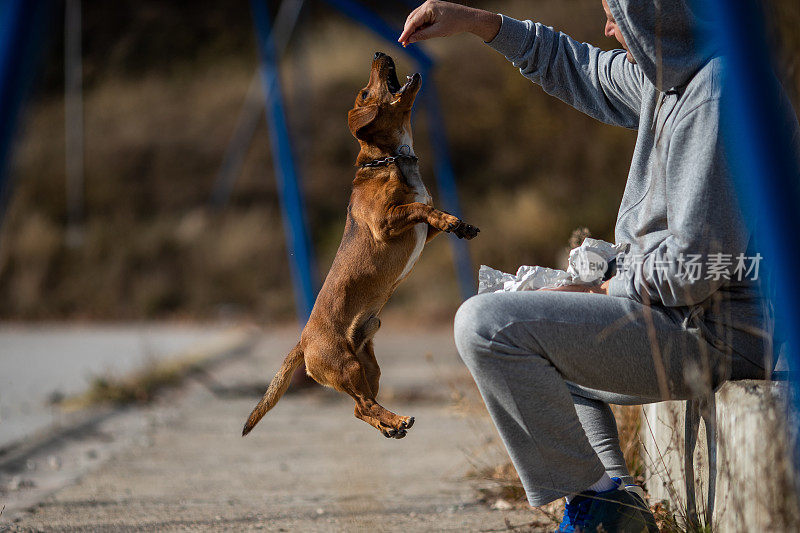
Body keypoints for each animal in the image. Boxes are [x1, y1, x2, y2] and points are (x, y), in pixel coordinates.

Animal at [241, 52, 478, 438]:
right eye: (365, 93)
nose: (379, 54)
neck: (391, 158)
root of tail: (303, 341)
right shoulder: (385, 223)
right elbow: (420, 207)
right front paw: (451, 221)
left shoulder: (421, 232)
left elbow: (431, 212)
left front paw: (461, 224)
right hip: (346, 366)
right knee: (363, 403)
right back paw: (397, 420)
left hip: (369, 366)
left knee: (359, 408)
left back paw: (390, 426)